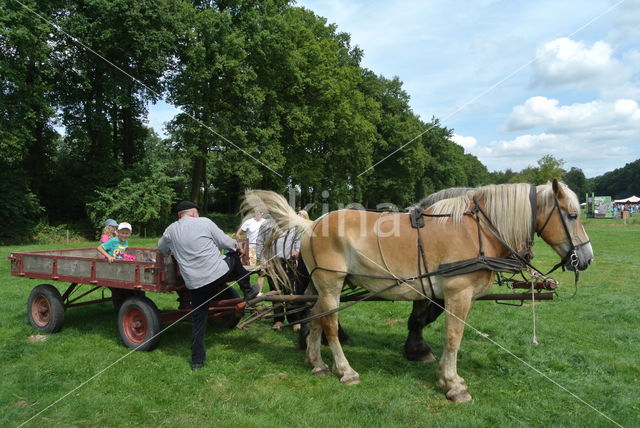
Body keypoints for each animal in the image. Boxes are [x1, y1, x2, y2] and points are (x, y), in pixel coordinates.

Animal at [242, 180, 592, 402]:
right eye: (573, 215)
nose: (586, 258)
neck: (478, 230)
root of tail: (312, 224)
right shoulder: (457, 294)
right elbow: (453, 337)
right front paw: (452, 384)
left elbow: (435, 330)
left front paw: (441, 372)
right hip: (332, 282)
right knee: (328, 323)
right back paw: (346, 371)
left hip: (320, 283)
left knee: (315, 317)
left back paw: (317, 364)